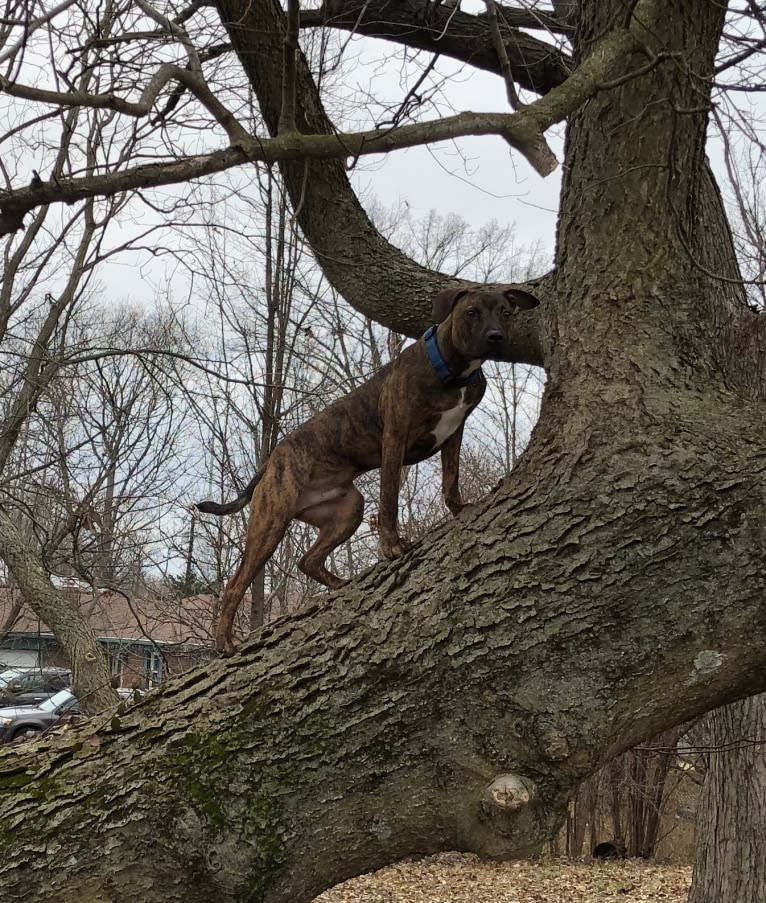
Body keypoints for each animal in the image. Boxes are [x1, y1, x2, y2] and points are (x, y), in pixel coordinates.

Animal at [201, 286, 544, 652]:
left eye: (506, 312)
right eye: (471, 312)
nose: (496, 337)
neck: (453, 372)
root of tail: (272, 458)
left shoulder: (454, 433)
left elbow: (450, 479)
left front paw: (460, 508)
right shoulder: (394, 439)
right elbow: (390, 499)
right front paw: (392, 546)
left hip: (347, 509)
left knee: (307, 560)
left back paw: (338, 584)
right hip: (270, 522)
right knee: (235, 584)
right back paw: (224, 641)